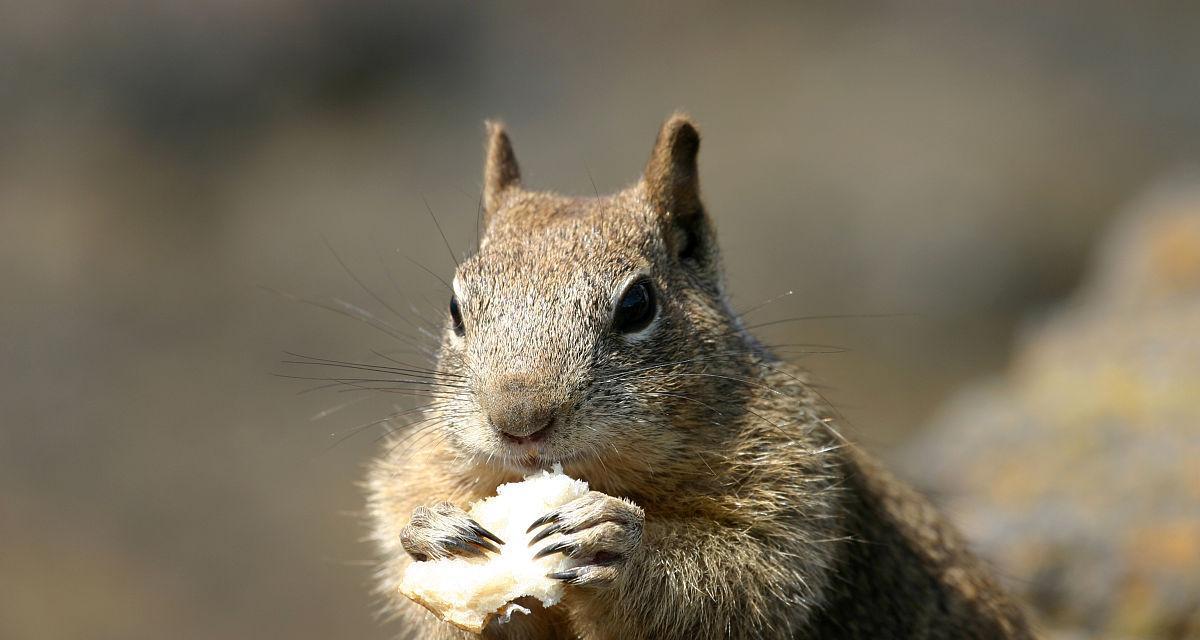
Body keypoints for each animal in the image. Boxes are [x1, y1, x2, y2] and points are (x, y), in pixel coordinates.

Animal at [364, 114, 1032, 638]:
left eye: (638, 304)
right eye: (456, 307)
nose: (520, 421)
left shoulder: (794, 488)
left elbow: (743, 581)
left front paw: (614, 539)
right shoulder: (417, 470)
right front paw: (430, 530)